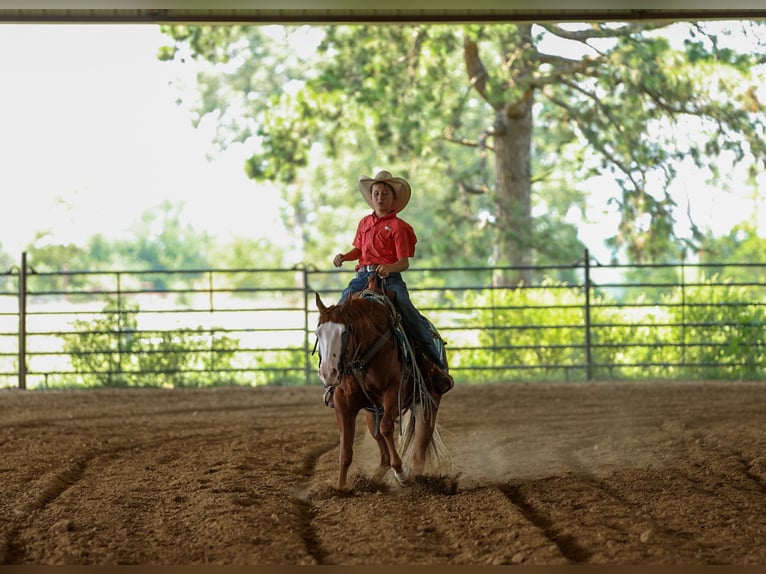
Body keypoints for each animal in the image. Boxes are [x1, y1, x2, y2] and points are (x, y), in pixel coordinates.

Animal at [314, 283, 449, 490]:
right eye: (317, 334)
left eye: (344, 332)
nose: (329, 372)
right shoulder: (342, 403)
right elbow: (345, 449)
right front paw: (340, 488)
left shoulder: (393, 393)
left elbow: (386, 428)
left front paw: (401, 473)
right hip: (372, 412)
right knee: (383, 451)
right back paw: (373, 481)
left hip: (427, 402)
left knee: (420, 445)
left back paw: (415, 478)